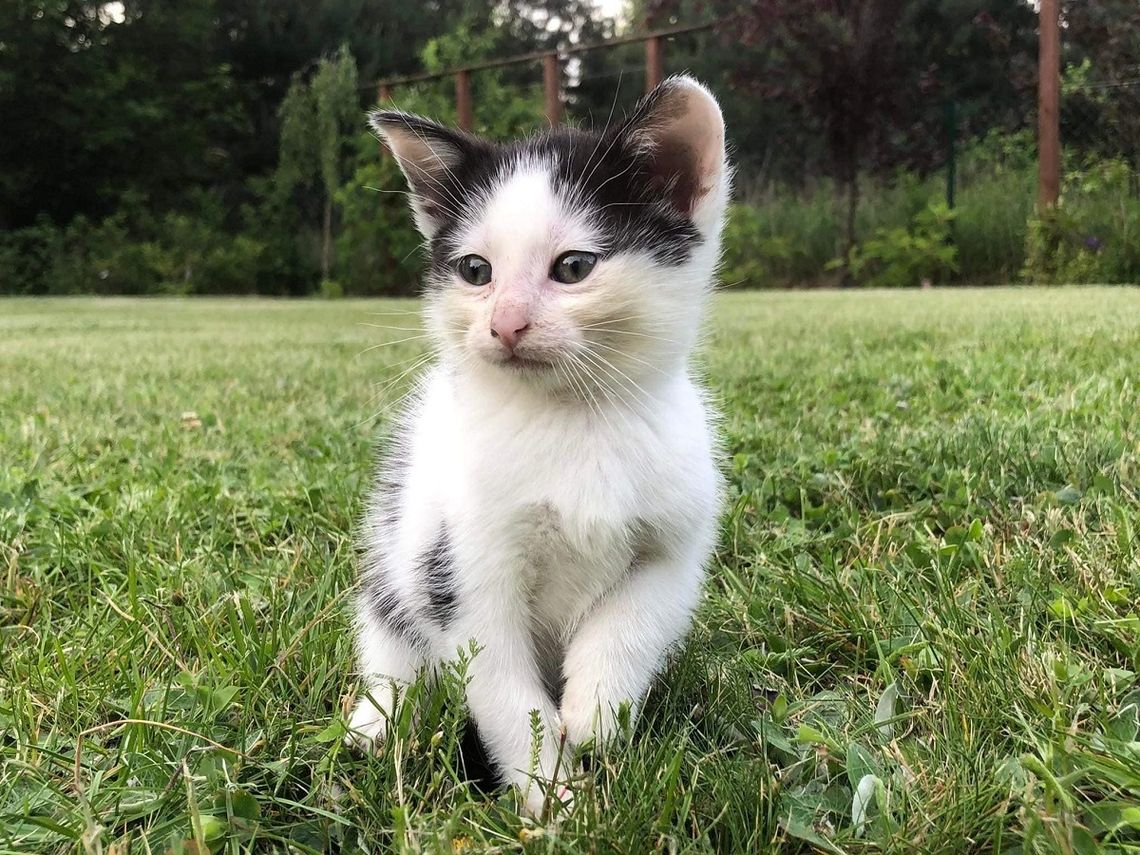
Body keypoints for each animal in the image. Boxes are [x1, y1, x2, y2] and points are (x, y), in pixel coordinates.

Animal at [346, 75, 729, 816]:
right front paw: (555, 802)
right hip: (394, 563)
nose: (505, 323)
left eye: (573, 266)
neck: (572, 419)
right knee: (390, 645)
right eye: (475, 271)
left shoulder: (676, 538)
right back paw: (379, 719)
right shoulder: (461, 568)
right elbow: (502, 690)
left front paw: (598, 712)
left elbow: (639, 613)